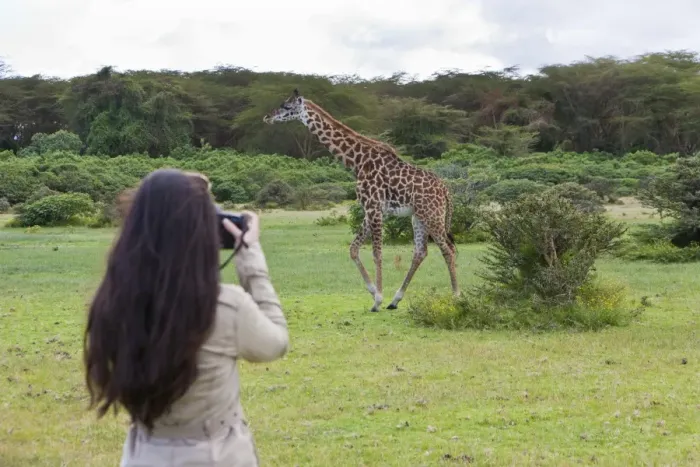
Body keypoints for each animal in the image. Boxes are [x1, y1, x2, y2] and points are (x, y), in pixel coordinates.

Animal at [263, 89, 459, 312]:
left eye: (287, 106)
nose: (267, 117)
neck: (357, 161)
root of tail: (446, 190)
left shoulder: (374, 207)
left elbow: (376, 253)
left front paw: (378, 299)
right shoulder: (370, 209)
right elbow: (353, 249)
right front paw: (374, 292)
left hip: (433, 215)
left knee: (448, 249)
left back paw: (456, 296)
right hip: (418, 216)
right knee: (420, 252)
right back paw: (395, 300)